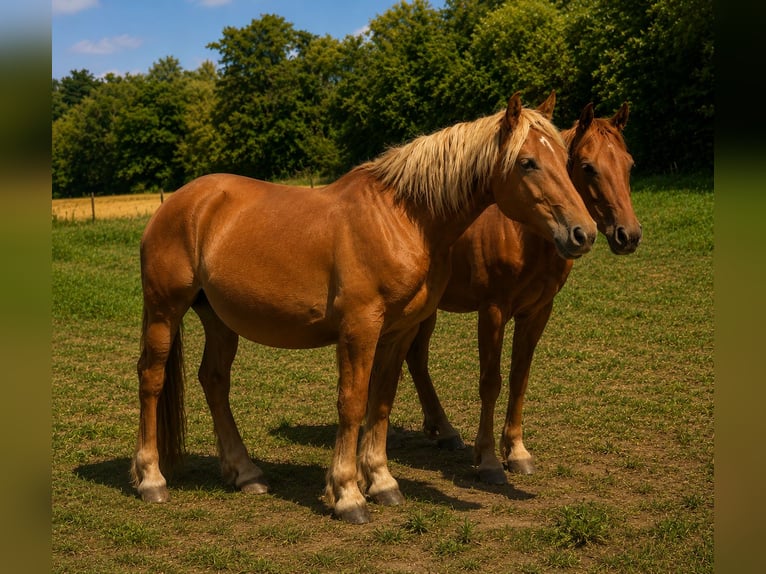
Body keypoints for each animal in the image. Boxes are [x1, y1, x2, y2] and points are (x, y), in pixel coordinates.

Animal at [130, 92, 596, 524]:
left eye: (566, 159)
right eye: (527, 162)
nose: (584, 233)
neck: (403, 219)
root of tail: (177, 204)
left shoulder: (397, 332)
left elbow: (382, 401)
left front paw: (382, 482)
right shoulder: (360, 328)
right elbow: (352, 403)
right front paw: (348, 494)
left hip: (219, 319)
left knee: (214, 381)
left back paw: (245, 473)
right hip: (164, 310)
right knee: (151, 378)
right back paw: (151, 478)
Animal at [404, 100, 642, 483]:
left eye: (629, 165)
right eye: (588, 167)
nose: (629, 235)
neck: (526, 233)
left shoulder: (537, 312)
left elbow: (519, 377)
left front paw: (516, 451)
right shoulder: (493, 311)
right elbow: (491, 381)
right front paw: (487, 459)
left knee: (416, 359)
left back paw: (443, 429)